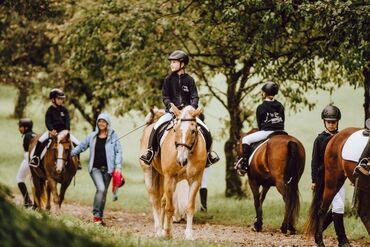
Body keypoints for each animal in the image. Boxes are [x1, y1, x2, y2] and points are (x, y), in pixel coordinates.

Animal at [139, 105, 208, 239]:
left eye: (193, 131)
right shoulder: (170, 178)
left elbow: (189, 207)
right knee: (155, 200)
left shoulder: (195, 179)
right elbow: (169, 207)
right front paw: (167, 233)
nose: (181, 160)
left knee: (162, 201)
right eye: (175, 130)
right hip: (149, 173)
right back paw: (159, 230)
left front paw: (189, 235)